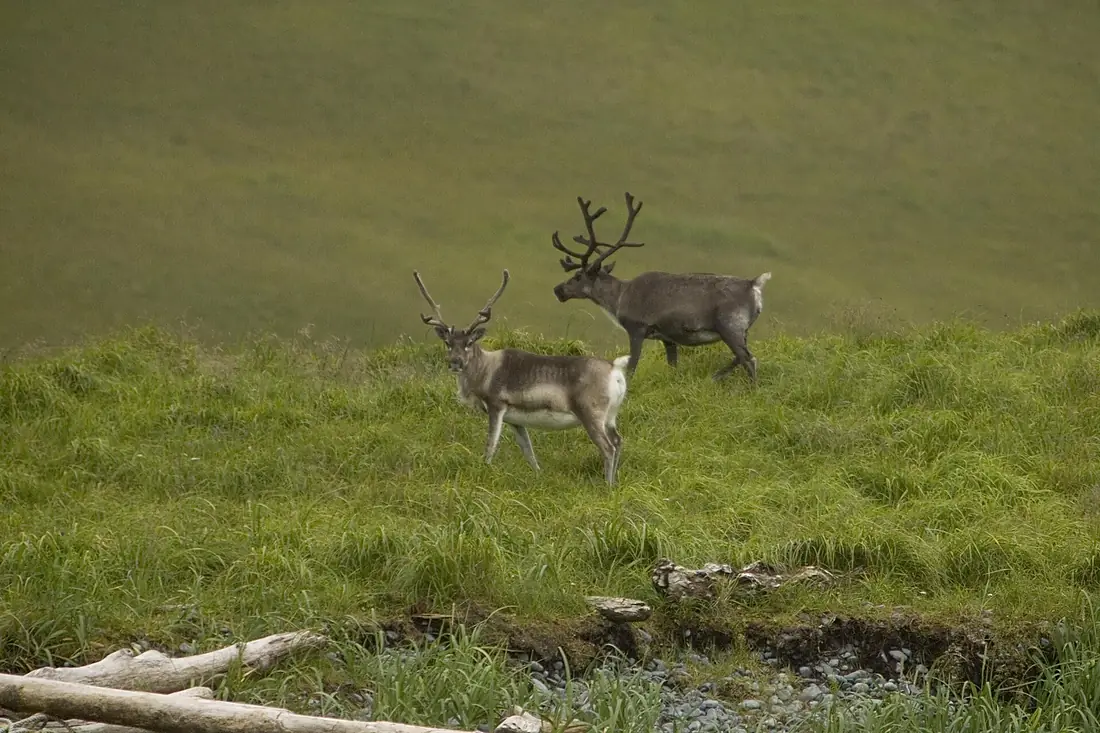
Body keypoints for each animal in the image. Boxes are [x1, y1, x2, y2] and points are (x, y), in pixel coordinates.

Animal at [413, 268, 631, 486]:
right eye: (448, 343)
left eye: (469, 343)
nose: (455, 362)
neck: (485, 370)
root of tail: (615, 369)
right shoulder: (515, 421)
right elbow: (528, 452)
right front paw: (538, 476)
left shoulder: (496, 406)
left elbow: (490, 447)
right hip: (610, 417)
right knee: (618, 440)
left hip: (591, 414)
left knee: (608, 447)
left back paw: (607, 486)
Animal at [550, 192, 773, 382]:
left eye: (578, 276)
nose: (558, 290)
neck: (619, 298)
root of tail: (754, 284)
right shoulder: (668, 338)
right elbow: (672, 365)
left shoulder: (637, 328)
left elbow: (631, 368)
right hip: (742, 330)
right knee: (742, 357)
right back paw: (715, 377)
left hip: (730, 326)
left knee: (749, 359)